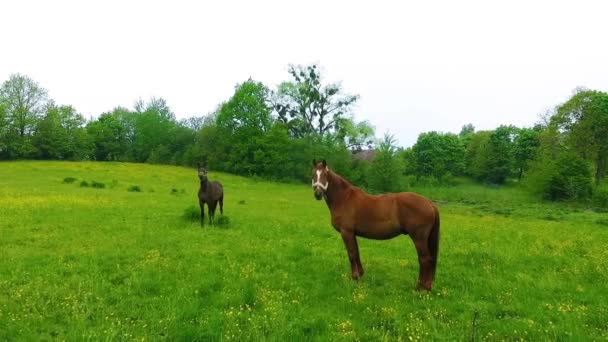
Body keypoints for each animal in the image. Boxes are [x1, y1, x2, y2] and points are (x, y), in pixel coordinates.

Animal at [312, 160, 440, 292]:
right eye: (313, 174)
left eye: (325, 175)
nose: (318, 194)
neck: (344, 198)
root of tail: (429, 203)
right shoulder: (353, 233)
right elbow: (356, 252)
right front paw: (360, 275)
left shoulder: (346, 232)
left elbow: (351, 254)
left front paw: (354, 278)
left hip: (419, 238)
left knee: (425, 260)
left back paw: (422, 288)